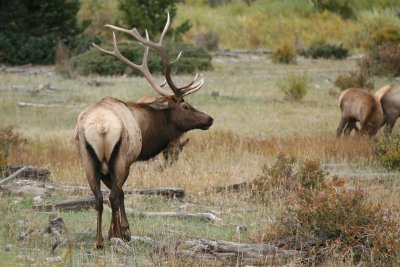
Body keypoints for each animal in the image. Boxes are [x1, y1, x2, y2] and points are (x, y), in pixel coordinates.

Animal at [74, 13, 212, 249]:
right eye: (185, 106)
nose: (209, 119)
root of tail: (101, 126)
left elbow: (112, 195)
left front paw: (115, 232)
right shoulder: (129, 160)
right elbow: (120, 195)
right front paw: (123, 232)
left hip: (87, 160)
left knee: (98, 198)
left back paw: (99, 241)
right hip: (119, 158)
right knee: (113, 196)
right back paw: (114, 237)